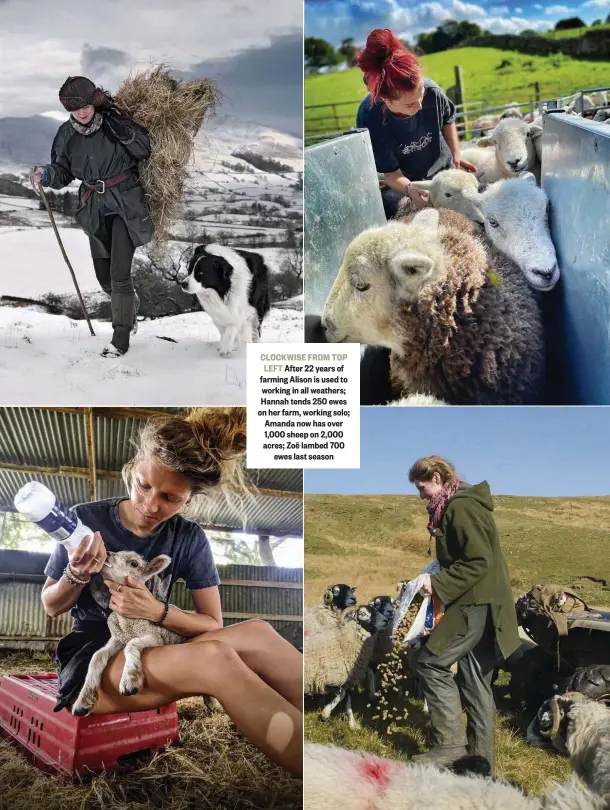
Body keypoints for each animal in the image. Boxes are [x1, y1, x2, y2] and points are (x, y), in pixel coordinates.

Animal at [71, 548, 183, 712]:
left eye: (134, 564)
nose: (107, 553)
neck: (127, 624)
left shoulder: (155, 636)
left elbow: (131, 645)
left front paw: (129, 681)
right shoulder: (117, 638)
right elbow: (98, 656)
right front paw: (83, 701)